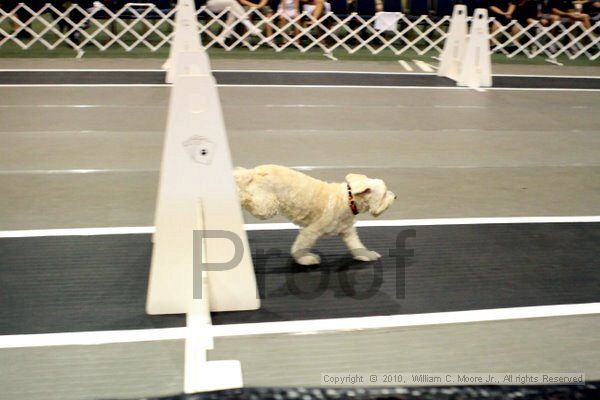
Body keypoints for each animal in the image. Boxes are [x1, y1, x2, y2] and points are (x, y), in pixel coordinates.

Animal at [236, 165, 398, 266]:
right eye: (384, 194)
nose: (395, 196)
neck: (348, 199)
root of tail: (253, 171)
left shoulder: (348, 232)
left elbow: (357, 246)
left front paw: (367, 255)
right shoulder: (311, 231)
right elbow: (300, 248)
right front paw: (305, 259)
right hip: (266, 207)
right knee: (247, 198)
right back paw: (239, 197)